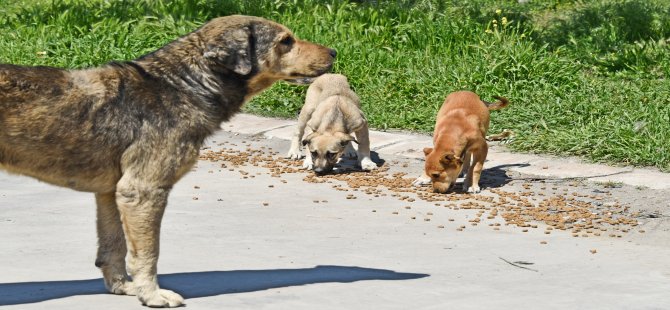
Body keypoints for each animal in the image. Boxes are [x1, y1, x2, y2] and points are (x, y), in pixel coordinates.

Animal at [0, 15, 336, 308]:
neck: (184, 85)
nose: (334, 51)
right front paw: (151, 295)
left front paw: (124, 287)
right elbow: (148, 253)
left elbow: (114, 247)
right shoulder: (143, 191)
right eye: (285, 41)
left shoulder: (111, 193)